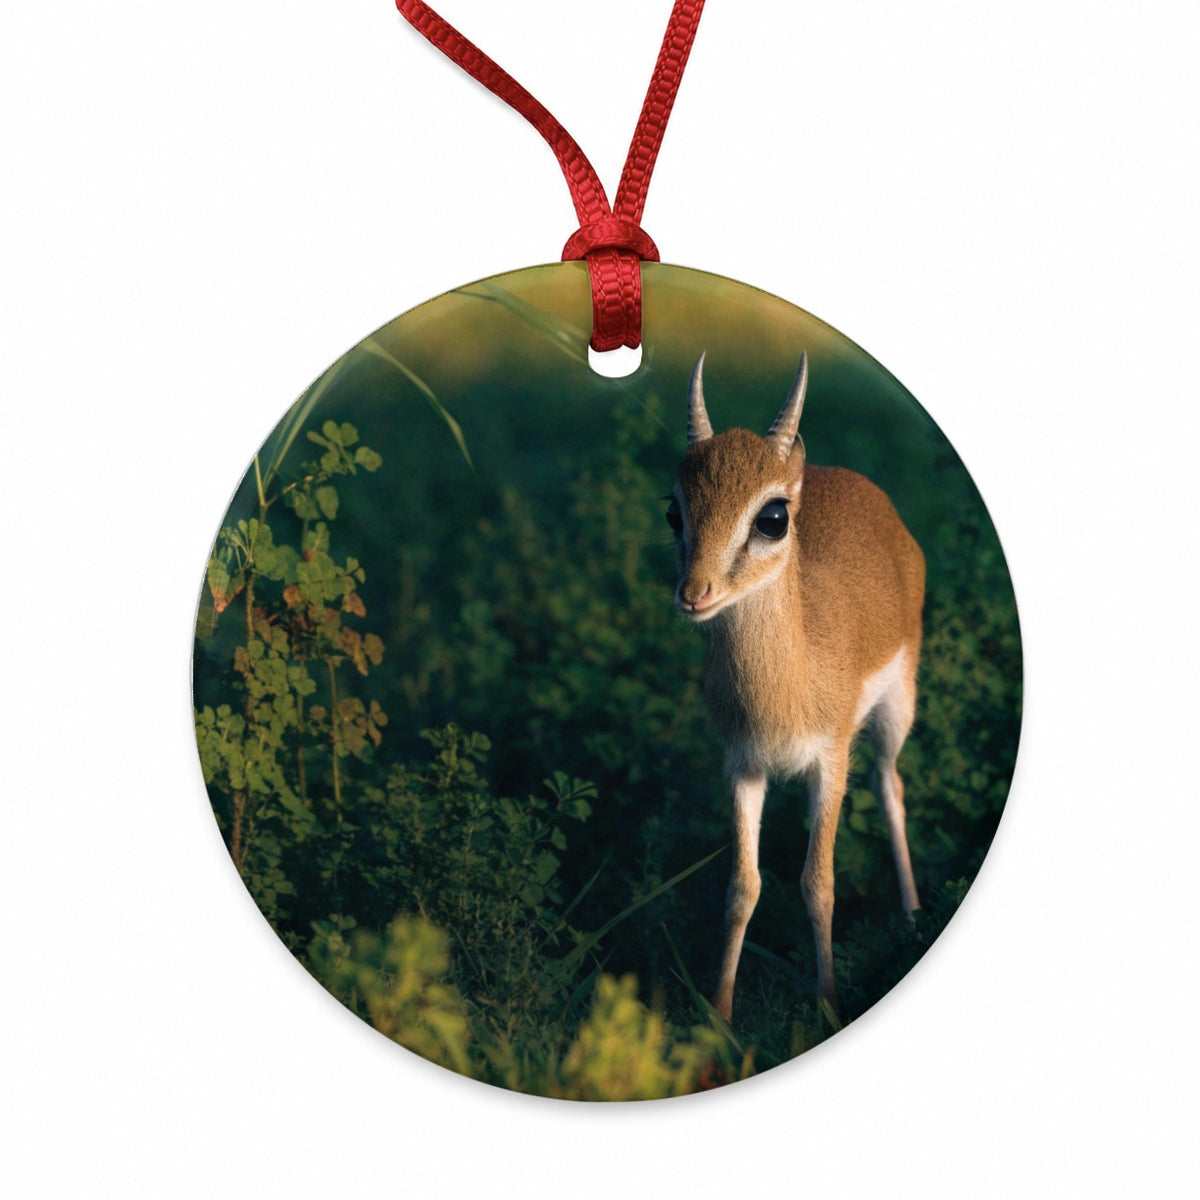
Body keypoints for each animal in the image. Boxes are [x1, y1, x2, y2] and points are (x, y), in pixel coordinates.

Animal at [668, 352, 925, 1022]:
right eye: (674, 510)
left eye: (773, 517)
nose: (694, 593)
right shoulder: (742, 766)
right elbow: (743, 886)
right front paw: (718, 1014)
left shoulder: (830, 761)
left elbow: (819, 884)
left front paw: (829, 1005)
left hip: (895, 713)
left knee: (891, 786)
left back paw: (913, 918)